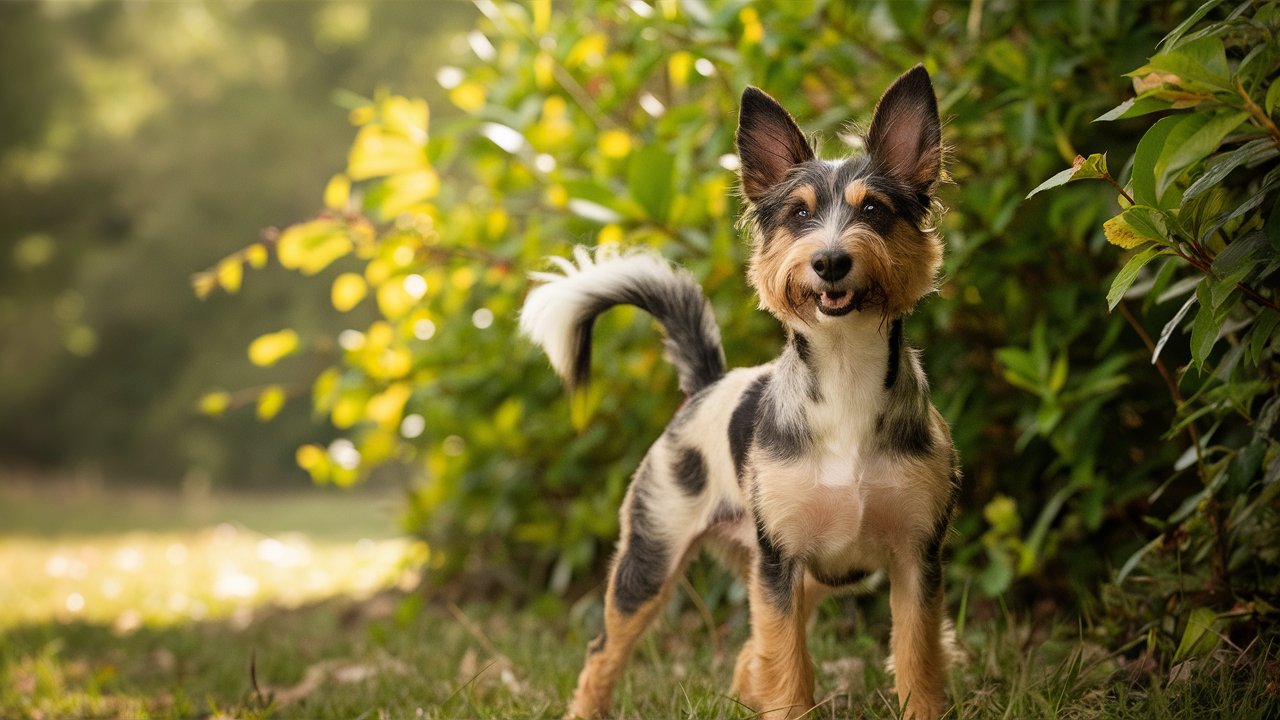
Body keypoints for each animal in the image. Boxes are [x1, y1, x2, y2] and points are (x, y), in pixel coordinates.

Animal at [522, 65, 962, 717]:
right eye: (800, 215)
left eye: (875, 210)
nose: (830, 261)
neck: (845, 378)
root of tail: (705, 384)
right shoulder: (780, 562)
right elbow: (788, 669)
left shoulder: (915, 561)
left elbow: (915, 661)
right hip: (651, 559)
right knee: (605, 651)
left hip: (797, 575)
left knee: (748, 653)